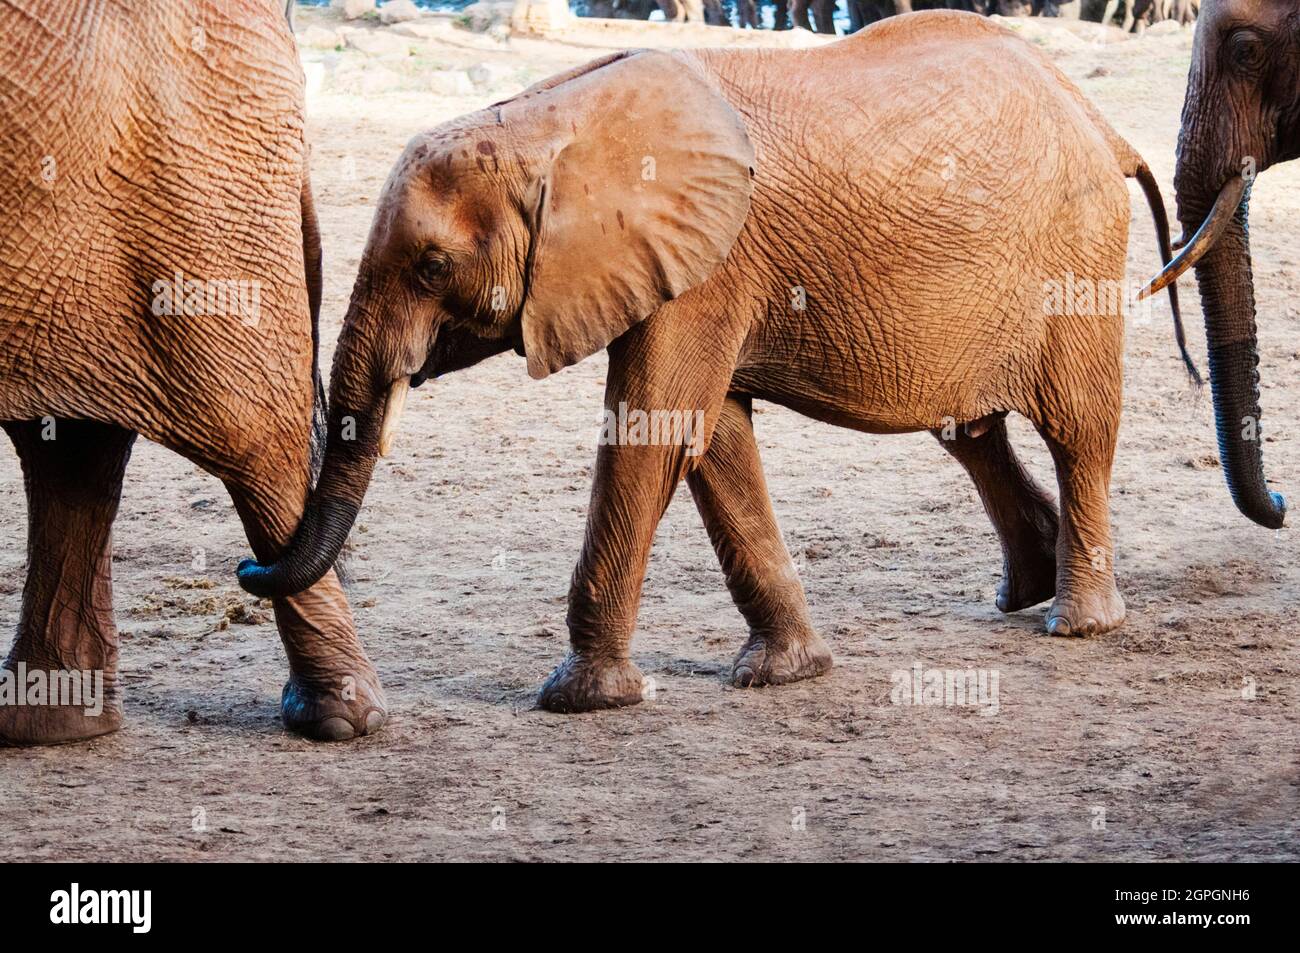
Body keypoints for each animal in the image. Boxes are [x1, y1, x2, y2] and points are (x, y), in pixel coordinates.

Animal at [241, 11, 1190, 712]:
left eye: (433, 267)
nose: (250, 566)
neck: (548, 118)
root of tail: (1101, 123)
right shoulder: (690, 270)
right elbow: (715, 441)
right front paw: (785, 674)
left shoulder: (708, 267)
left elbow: (652, 438)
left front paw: (580, 698)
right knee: (972, 430)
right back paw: (1023, 592)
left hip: (1076, 256)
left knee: (1078, 428)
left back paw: (1077, 623)